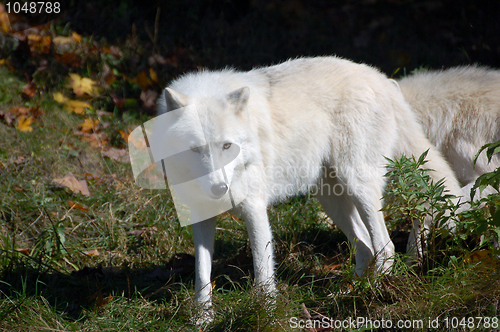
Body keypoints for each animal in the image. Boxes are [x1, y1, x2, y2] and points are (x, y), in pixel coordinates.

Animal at [157, 56, 460, 320]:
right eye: (194, 149)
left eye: (227, 146)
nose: (219, 189)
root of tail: (382, 79)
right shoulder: (200, 216)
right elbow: (202, 273)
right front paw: (202, 318)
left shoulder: (255, 209)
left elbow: (263, 272)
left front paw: (266, 314)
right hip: (330, 199)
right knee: (365, 246)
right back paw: (349, 293)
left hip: (358, 185)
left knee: (385, 248)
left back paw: (372, 294)